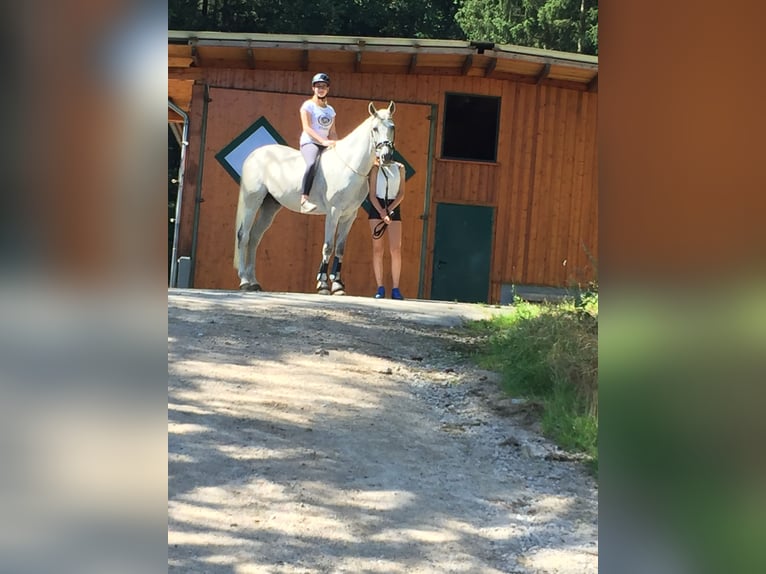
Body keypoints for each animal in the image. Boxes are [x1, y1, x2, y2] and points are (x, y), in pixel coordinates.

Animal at [236, 100, 400, 294]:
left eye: (392, 127)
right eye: (375, 128)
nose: (386, 156)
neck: (349, 165)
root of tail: (254, 154)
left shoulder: (349, 216)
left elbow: (340, 249)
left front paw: (338, 285)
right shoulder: (334, 212)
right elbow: (328, 247)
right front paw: (323, 284)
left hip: (269, 206)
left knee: (255, 237)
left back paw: (254, 282)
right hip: (251, 202)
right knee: (244, 236)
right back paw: (244, 281)